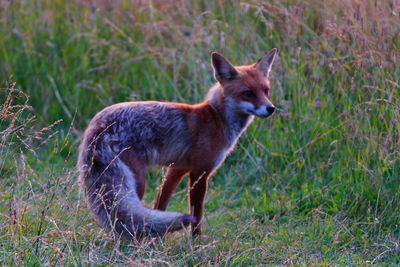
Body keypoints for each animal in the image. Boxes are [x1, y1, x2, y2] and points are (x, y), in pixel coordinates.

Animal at [77, 48, 278, 241]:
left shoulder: (176, 169)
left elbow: (160, 203)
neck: (216, 118)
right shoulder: (200, 173)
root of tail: (99, 127)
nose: (271, 108)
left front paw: (158, 238)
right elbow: (197, 214)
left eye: (266, 91)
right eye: (248, 93)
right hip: (137, 181)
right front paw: (196, 240)